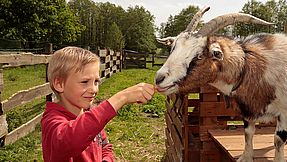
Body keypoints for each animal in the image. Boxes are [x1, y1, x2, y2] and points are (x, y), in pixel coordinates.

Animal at [155, 6, 287, 162]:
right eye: (172, 48)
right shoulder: (246, 111)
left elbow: (278, 139)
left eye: (199, 56)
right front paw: (246, 157)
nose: (159, 79)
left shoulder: (284, 112)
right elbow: (248, 133)